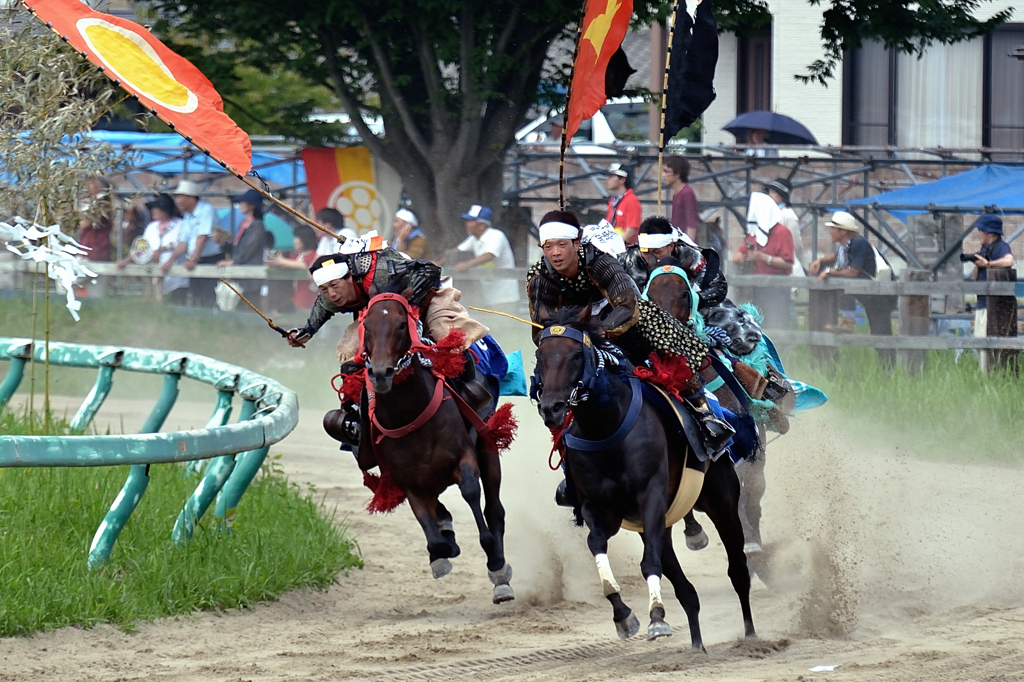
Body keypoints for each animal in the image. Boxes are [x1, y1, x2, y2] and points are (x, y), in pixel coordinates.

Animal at [362, 290, 520, 602]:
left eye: (401, 325)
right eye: (367, 327)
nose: (381, 373)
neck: (409, 415)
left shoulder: (465, 458)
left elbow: (471, 492)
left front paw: (495, 562)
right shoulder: (410, 484)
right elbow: (433, 535)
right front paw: (443, 549)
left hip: (488, 448)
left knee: (494, 511)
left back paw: (500, 575)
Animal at [536, 305, 753, 647]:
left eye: (576, 355)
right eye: (540, 355)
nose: (552, 408)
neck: (605, 427)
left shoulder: (651, 497)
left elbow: (649, 562)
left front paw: (657, 619)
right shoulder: (599, 509)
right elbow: (596, 544)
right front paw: (623, 616)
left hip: (722, 502)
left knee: (738, 570)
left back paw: (751, 634)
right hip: (663, 522)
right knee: (687, 591)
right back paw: (697, 646)